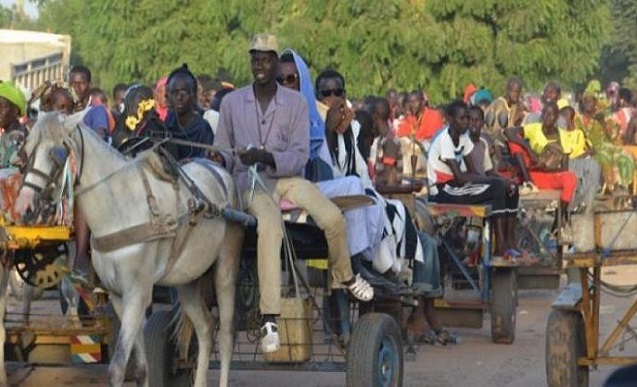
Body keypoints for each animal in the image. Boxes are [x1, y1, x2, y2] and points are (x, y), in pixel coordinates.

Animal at [14, 113, 243, 387]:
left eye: (57, 153)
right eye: (26, 151)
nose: (24, 206)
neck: (119, 209)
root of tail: (218, 169)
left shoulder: (137, 293)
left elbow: (117, 367)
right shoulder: (117, 295)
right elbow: (141, 366)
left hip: (226, 266)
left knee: (227, 335)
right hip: (188, 279)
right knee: (206, 329)